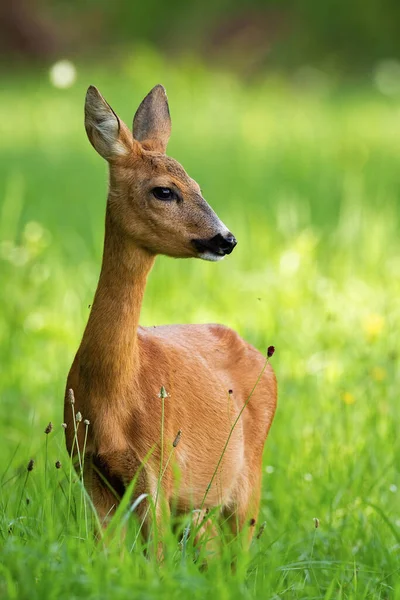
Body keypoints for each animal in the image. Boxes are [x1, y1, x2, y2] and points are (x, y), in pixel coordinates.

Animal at [65, 84, 278, 548]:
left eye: (196, 184)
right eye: (165, 191)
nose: (226, 239)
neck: (116, 394)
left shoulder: (158, 468)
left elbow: (159, 556)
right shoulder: (88, 468)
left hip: (249, 474)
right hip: (196, 503)